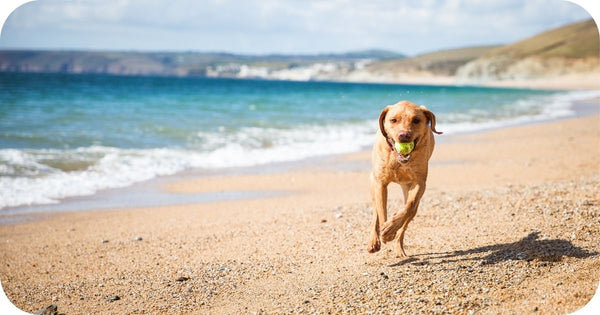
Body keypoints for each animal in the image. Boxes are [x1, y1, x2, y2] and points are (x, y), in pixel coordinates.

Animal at [366, 100, 440, 256]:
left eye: (416, 120)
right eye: (393, 120)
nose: (404, 135)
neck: (398, 159)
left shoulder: (419, 183)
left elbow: (409, 206)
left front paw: (390, 228)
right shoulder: (380, 183)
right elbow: (382, 211)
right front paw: (386, 231)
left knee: (407, 218)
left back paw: (399, 246)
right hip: (373, 184)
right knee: (376, 212)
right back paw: (374, 241)